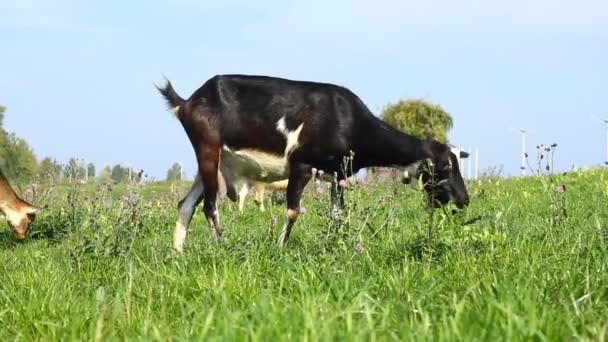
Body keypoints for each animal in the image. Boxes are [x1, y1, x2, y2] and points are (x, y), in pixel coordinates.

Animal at [158, 74, 470, 251]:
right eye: (446, 166)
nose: (464, 199)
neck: (347, 119)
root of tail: (189, 100)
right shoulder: (301, 166)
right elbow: (293, 210)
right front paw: (280, 250)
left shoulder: (338, 174)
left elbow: (338, 214)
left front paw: (338, 246)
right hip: (208, 152)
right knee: (210, 206)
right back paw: (220, 248)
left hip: (211, 162)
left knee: (186, 204)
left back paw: (178, 254)